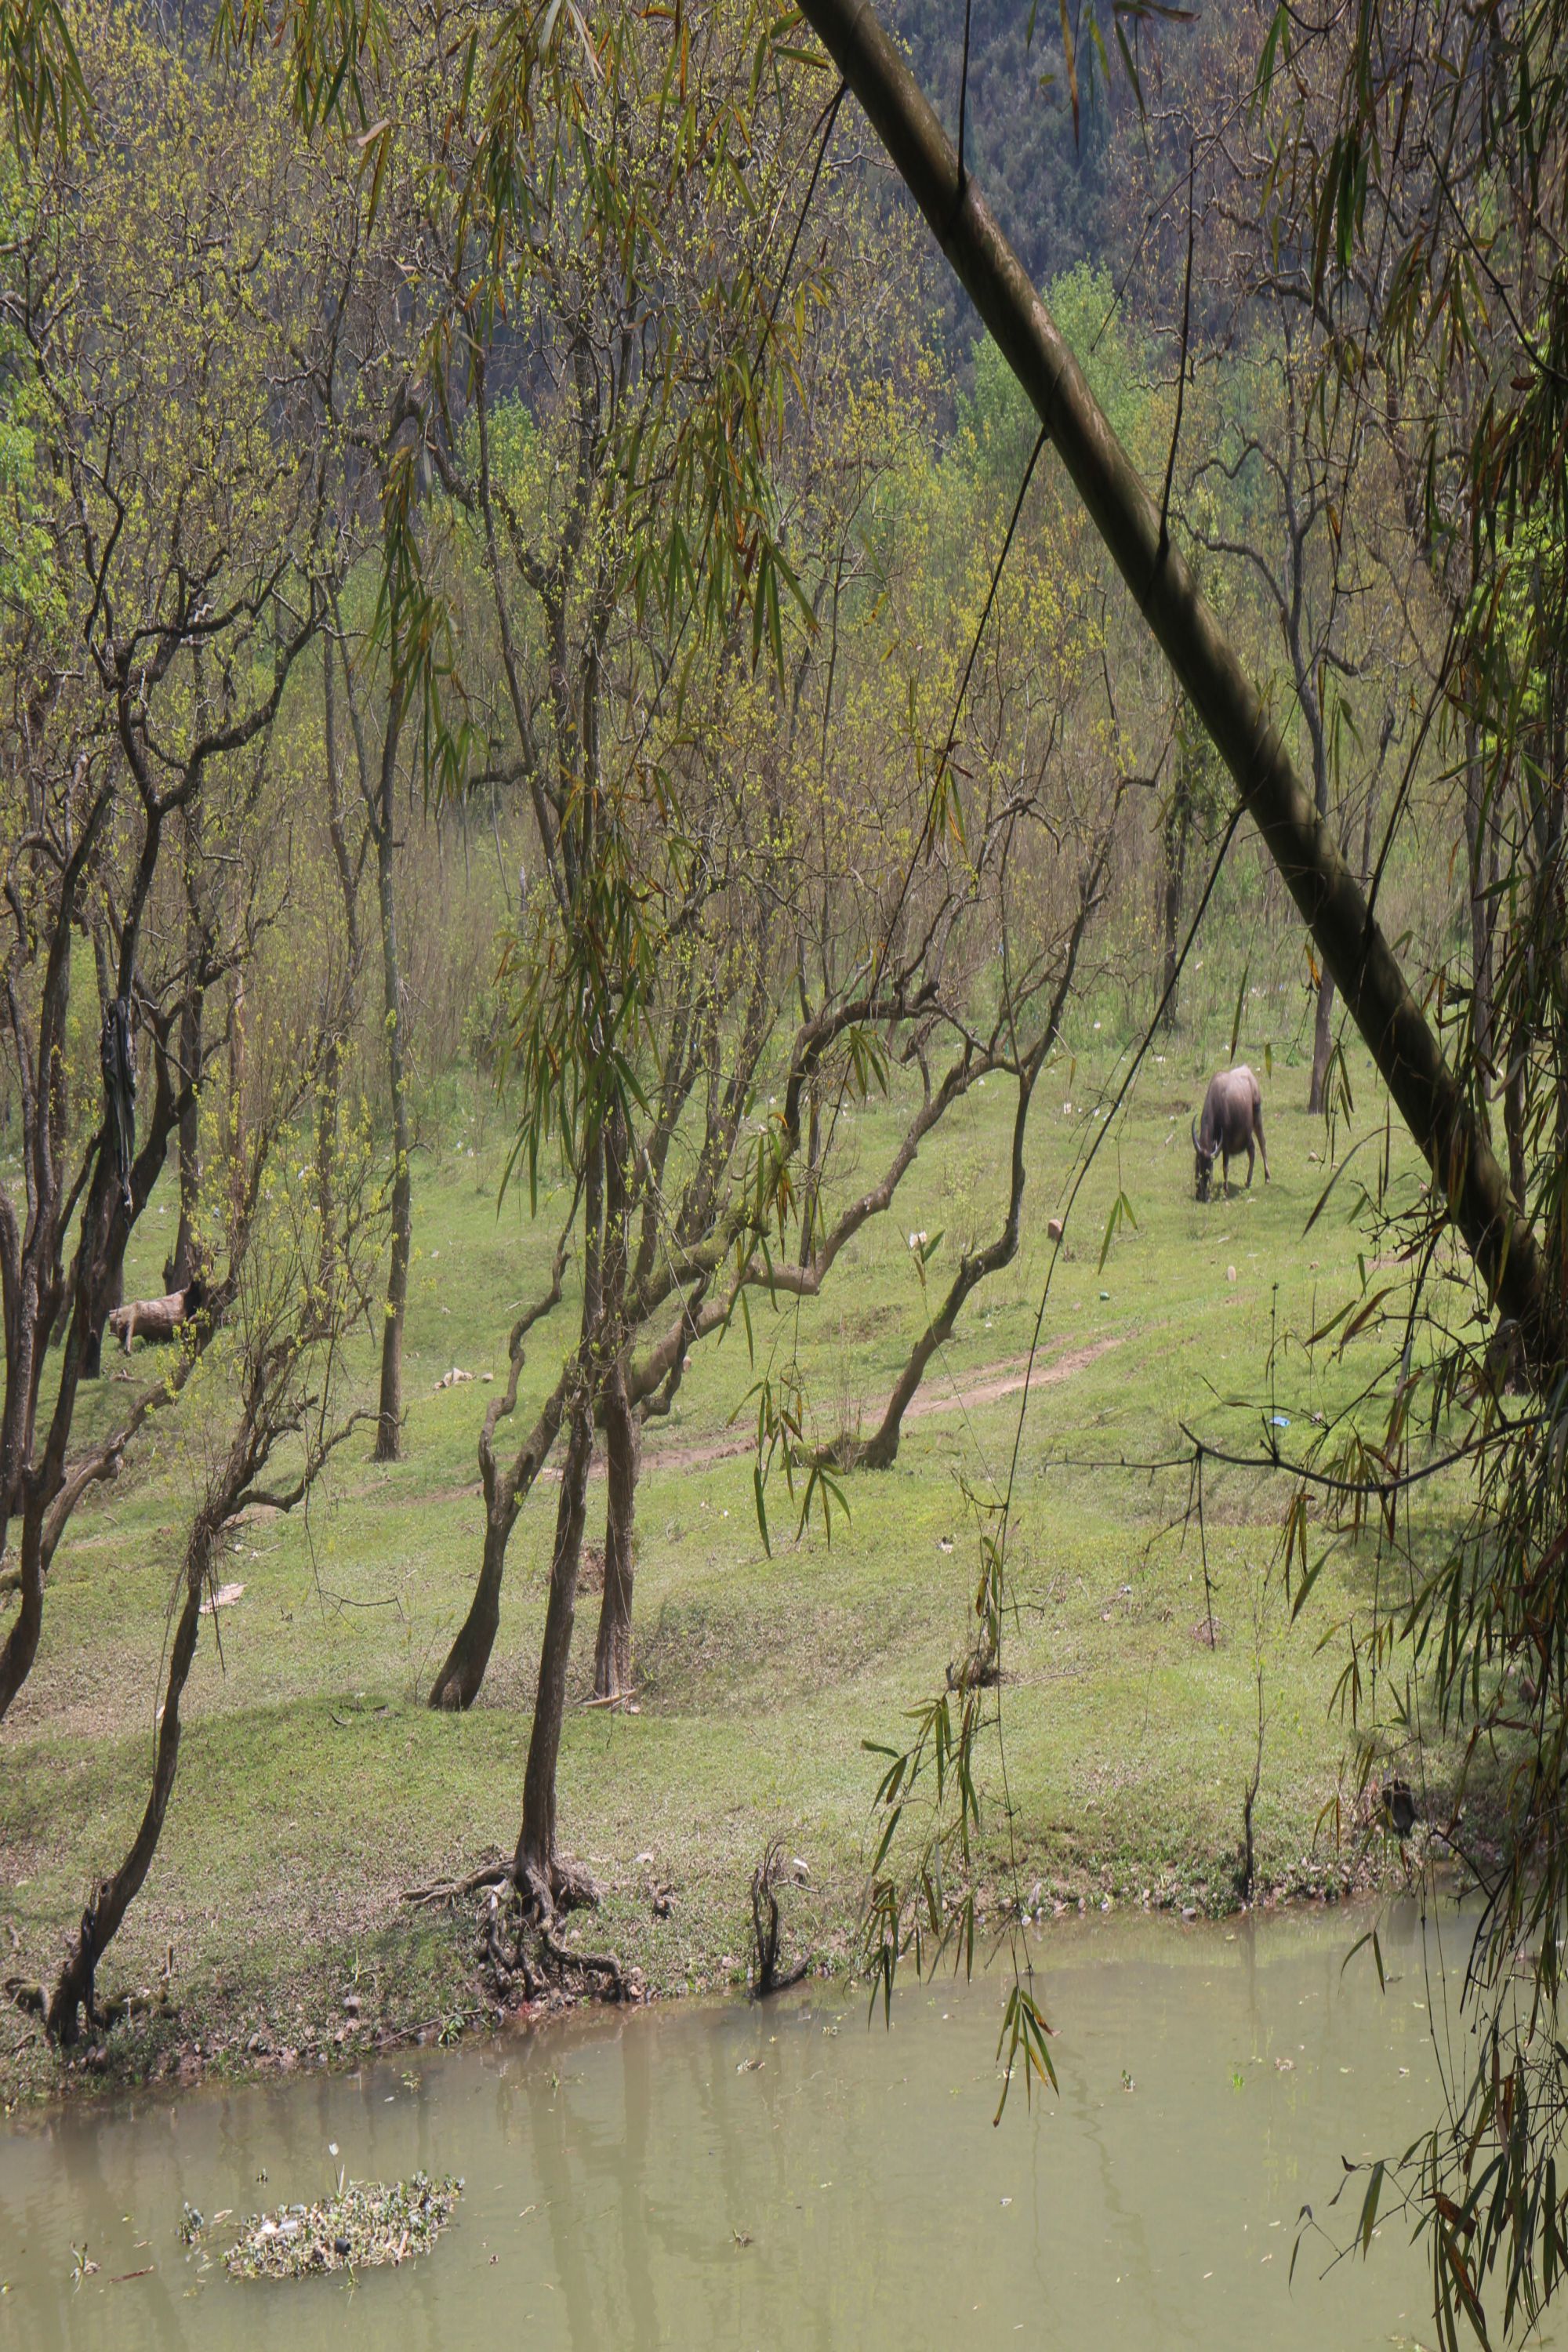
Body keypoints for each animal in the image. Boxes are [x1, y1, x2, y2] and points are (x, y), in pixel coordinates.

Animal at [1194, 1077, 1269, 1204]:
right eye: (1198, 1165)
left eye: (1210, 1169)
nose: (1203, 1196)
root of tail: (1251, 1077)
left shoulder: (1225, 1144)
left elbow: (1225, 1167)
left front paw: (1226, 1191)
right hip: (1246, 1133)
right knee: (1252, 1150)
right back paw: (1248, 1181)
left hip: (1257, 1118)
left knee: (1262, 1144)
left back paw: (1267, 1178)